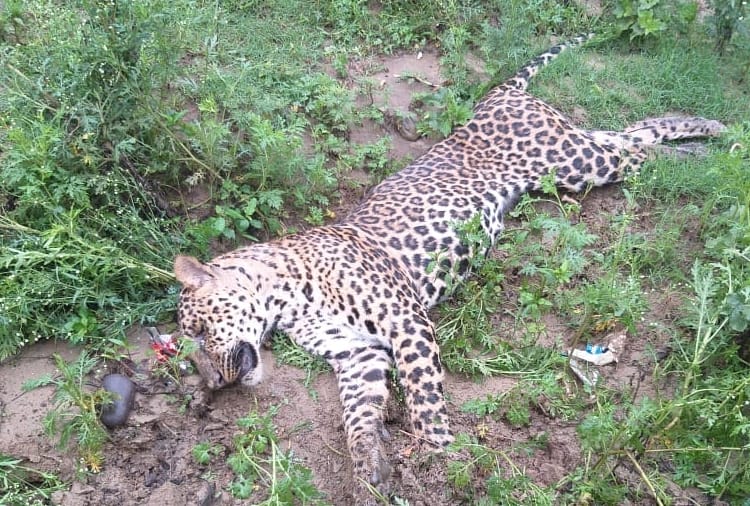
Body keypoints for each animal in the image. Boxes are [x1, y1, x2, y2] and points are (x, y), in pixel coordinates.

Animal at [174, 34, 725, 503]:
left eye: (200, 330)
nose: (215, 384)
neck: (282, 296)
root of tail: (494, 97)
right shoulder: (357, 352)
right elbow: (357, 417)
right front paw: (368, 469)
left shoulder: (405, 321)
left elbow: (422, 396)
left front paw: (438, 461)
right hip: (572, 157)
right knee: (639, 134)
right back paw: (711, 134)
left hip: (573, 162)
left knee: (640, 152)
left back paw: (716, 152)